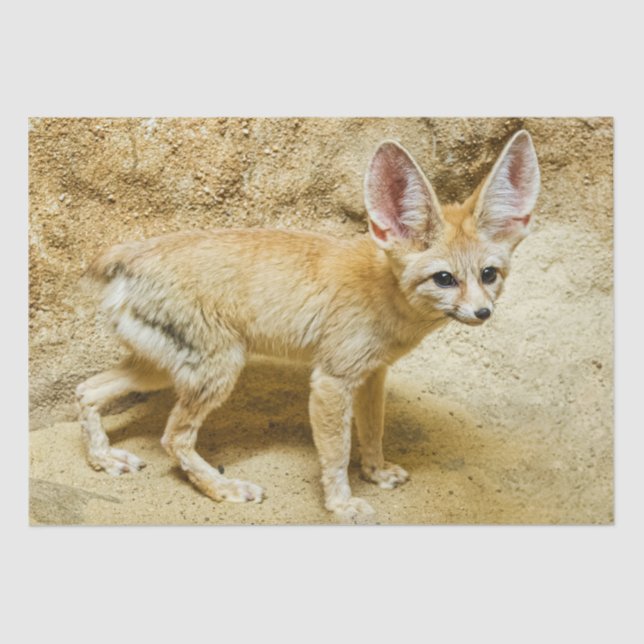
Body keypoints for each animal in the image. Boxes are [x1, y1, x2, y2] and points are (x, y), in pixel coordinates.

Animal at [75, 129, 540, 520]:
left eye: (489, 275)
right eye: (444, 279)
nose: (483, 313)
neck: (384, 291)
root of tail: (130, 253)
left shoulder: (372, 374)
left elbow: (372, 432)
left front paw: (376, 473)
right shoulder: (332, 380)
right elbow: (336, 453)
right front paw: (342, 504)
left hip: (162, 369)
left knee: (87, 391)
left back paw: (104, 460)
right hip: (218, 370)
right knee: (173, 439)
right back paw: (224, 488)